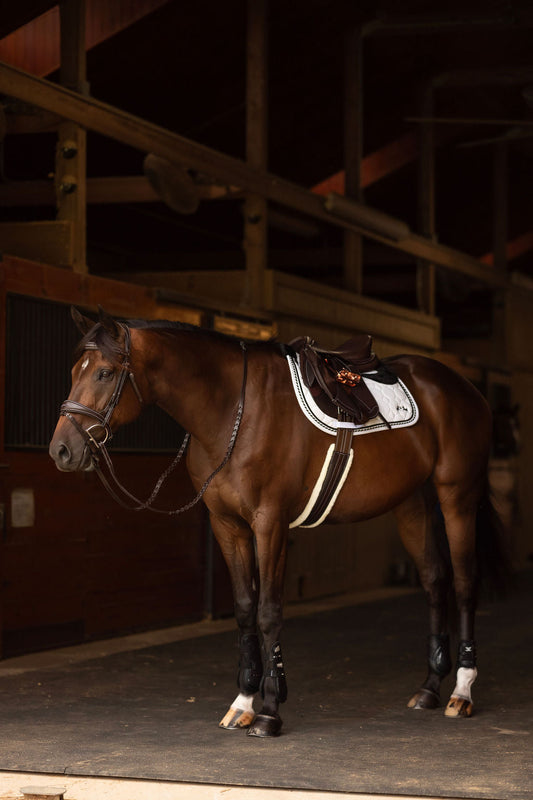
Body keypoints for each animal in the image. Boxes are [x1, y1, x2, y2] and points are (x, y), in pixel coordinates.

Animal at [49, 307, 508, 737]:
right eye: (73, 372)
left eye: (105, 373)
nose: (62, 450)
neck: (234, 410)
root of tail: (464, 388)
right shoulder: (227, 525)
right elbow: (243, 609)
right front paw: (243, 702)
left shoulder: (270, 523)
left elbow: (269, 611)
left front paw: (269, 711)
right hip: (412, 504)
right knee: (434, 580)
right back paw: (429, 688)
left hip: (457, 498)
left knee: (464, 584)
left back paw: (461, 692)